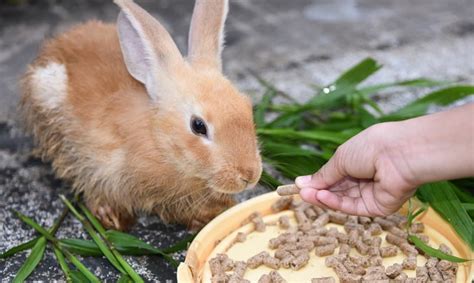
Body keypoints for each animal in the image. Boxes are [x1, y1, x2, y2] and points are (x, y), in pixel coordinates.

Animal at [19, 0, 262, 232]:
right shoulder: (97, 166)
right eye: (198, 126)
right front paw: (113, 219)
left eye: (246, 105)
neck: (158, 139)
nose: (249, 176)